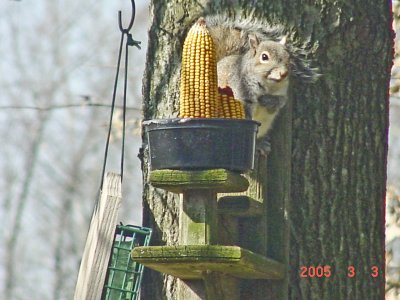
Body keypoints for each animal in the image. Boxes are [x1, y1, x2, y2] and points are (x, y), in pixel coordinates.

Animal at [203, 15, 318, 154]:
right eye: (264, 57)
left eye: (288, 57)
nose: (284, 73)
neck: (268, 84)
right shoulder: (241, 89)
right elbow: (245, 108)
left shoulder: (282, 92)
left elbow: (280, 102)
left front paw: (267, 100)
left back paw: (260, 144)